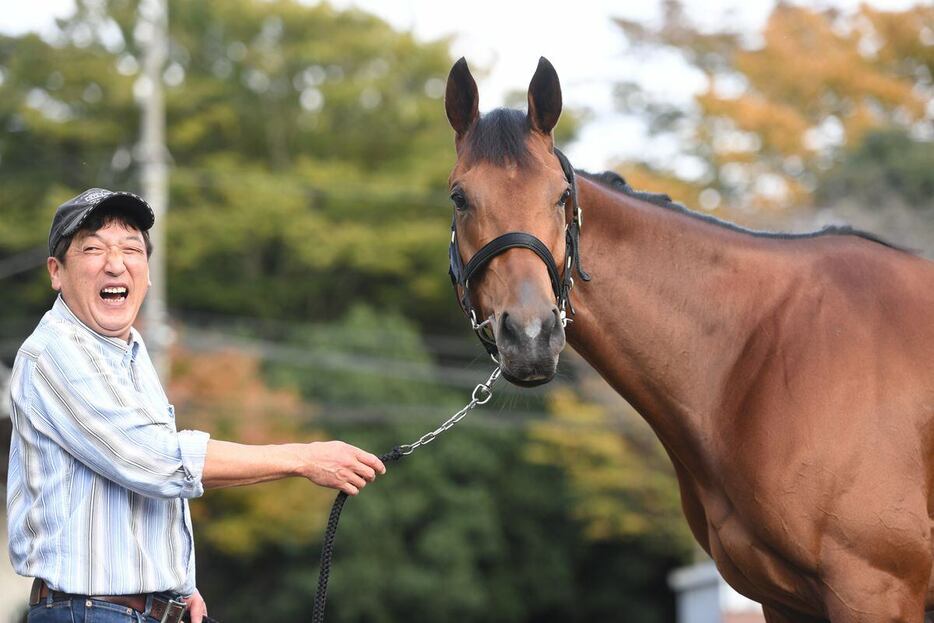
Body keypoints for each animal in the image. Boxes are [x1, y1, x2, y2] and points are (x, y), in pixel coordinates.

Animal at [444, 56, 934, 620]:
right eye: (459, 198)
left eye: (562, 196)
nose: (530, 337)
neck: (756, 354)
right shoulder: (785, 601)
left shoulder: (874, 589)